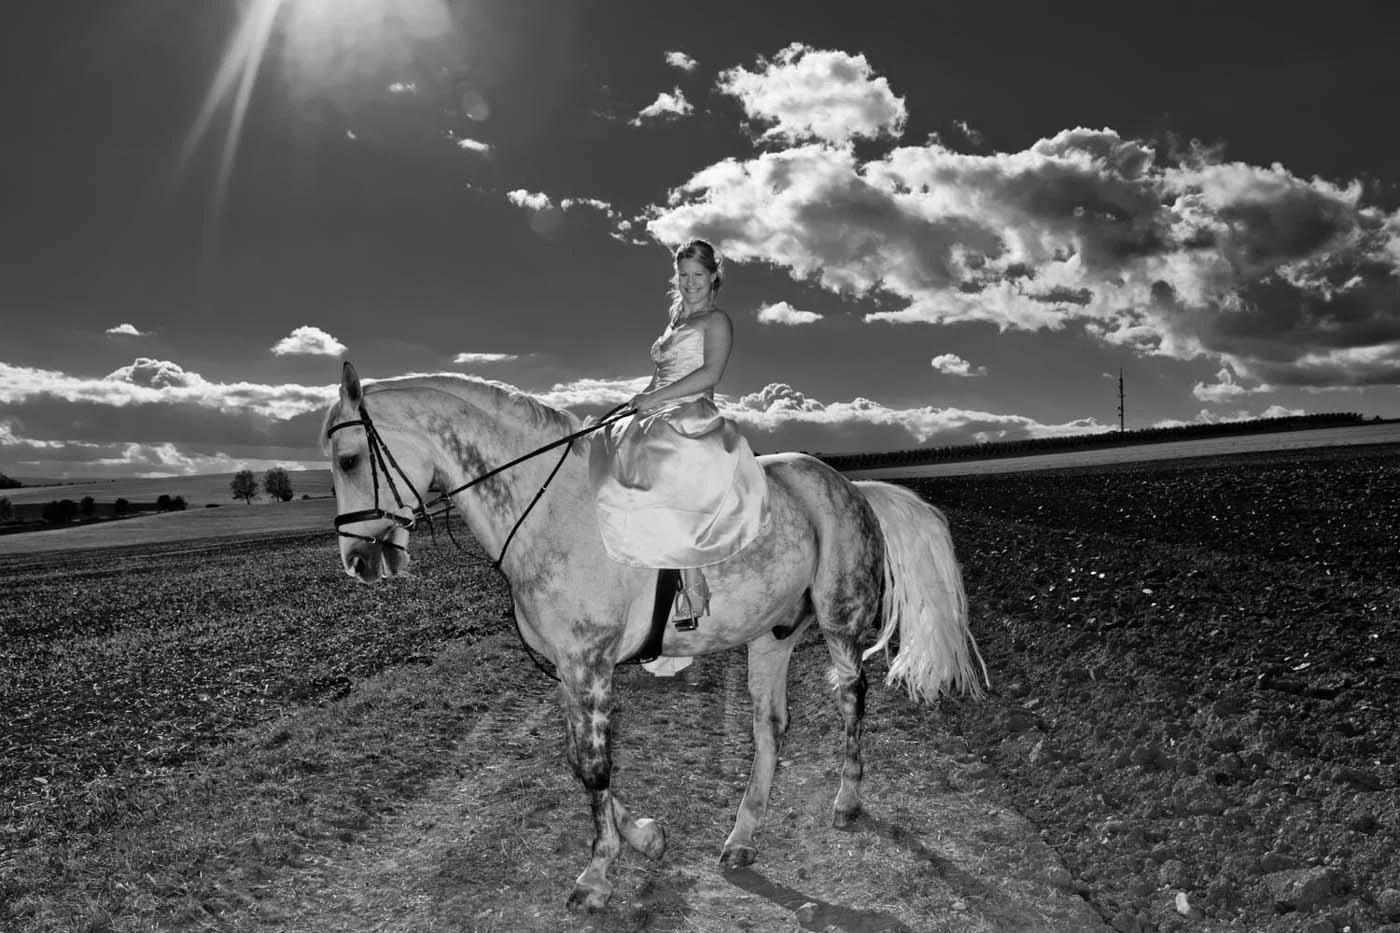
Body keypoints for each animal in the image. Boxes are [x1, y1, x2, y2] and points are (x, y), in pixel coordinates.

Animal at [322, 361, 986, 911]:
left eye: (349, 460)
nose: (358, 561)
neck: (549, 511)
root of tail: (851, 486)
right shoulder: (565, 669)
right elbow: (578, 761)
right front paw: (643, 837)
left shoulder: (589, 664)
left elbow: (594, 766)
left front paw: (598, 874)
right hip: (770, 637)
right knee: (770, 727)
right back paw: (743, 834)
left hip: (840, 620)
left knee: (851, 696)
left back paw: (846, 801)